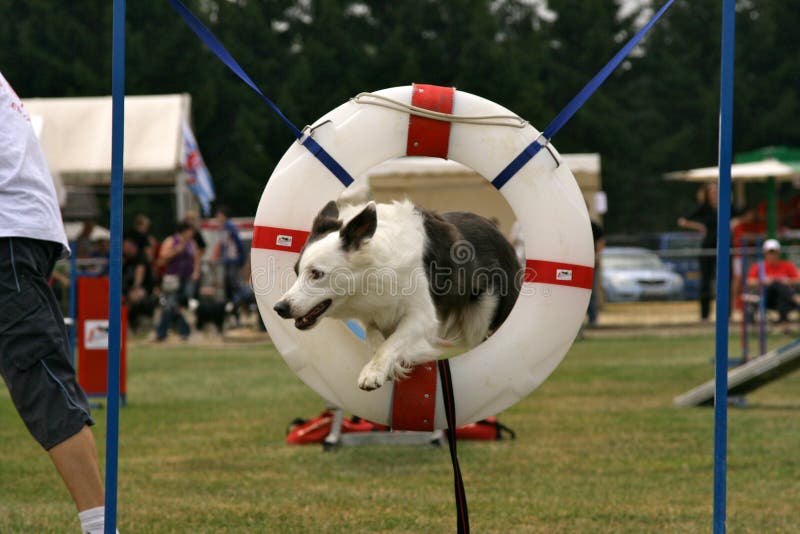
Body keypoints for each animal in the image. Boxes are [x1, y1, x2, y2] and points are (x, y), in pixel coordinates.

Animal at [276, 199, 520, 392]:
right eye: (296, 272)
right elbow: (375, 339)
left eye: (317, 274)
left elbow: (392, 342)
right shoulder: (373, 314)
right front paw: (385, 367)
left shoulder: (422, 316)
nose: (280, 308)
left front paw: (373, 373)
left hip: (481, 319)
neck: (374, 271)